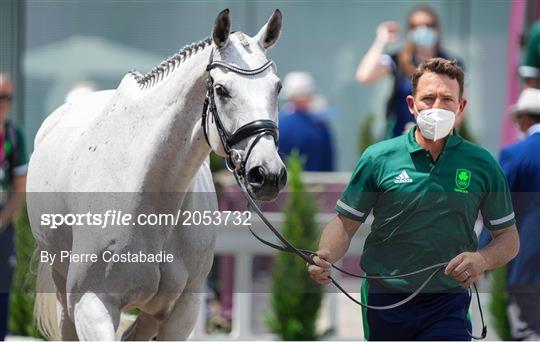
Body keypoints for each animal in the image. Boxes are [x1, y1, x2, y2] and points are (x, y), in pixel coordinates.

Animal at [26, 9, 284, 340]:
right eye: (221, 90)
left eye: (277, 87)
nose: (267, 175)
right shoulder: (92, 304)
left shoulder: (183, 309)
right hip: (62, 289)